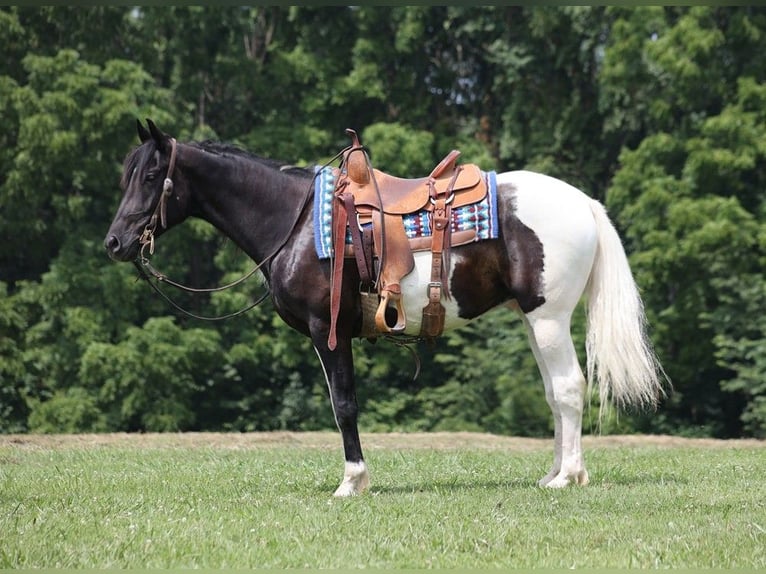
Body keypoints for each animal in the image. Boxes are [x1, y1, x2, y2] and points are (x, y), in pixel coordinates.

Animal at [105, 120, 668, 500]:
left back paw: (567, 477)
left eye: (152, 174)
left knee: (569, 388)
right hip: (534, 320)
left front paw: (352, 482)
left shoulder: (327, 329)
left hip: (548, 318)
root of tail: (584, 203)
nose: (115, 242)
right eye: (126, 175)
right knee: (555, 393)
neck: (295, 222)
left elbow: (344, 405)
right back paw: (553, 472)